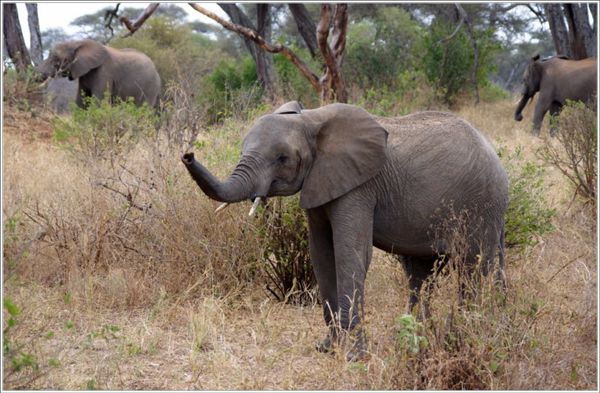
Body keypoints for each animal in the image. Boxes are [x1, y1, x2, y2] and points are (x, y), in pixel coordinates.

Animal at [182, 102, 506, 362]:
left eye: (282, 159)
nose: (187, 154)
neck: (311, 120)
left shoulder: (359, 186)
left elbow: (352, 254)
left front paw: (354, 356)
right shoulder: (320, 182)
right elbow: (322, 255)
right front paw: (327, 348)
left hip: (481, 205)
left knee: (473, 269)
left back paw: (467, 333)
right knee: (421, 274)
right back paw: (415, 337)